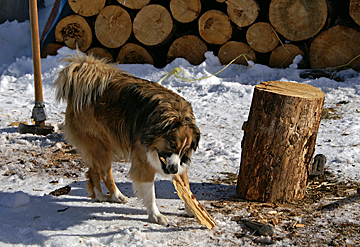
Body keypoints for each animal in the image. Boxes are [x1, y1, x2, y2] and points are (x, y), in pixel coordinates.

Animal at [53, 52, 201, 226]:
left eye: (185, 149)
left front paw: (193, 209)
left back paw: (99, 195)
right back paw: (116, 196)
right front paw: (156, 216)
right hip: (101, 145)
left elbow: (186, 186)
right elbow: (150, 194)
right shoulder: (143, 161)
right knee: (105, 172)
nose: (173, 170)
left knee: (93, 170)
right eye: (171, 144)